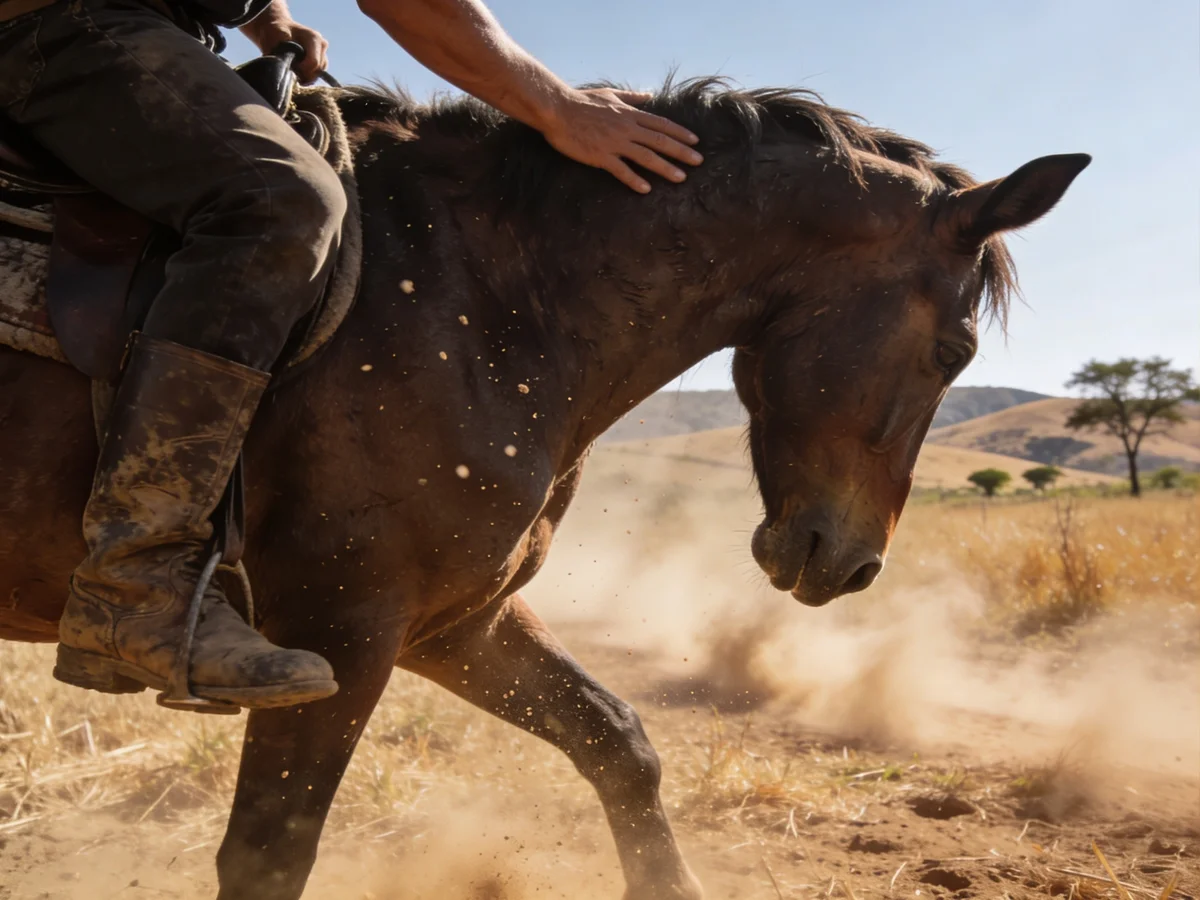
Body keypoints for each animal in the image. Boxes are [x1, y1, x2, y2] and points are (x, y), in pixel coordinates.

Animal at [0, 78, 1088, 899]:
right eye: (955, 350)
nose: (854, 566)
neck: (490, 294)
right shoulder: (338, 625)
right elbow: (270, 853)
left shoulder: (454, 621)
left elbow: (618, 740)